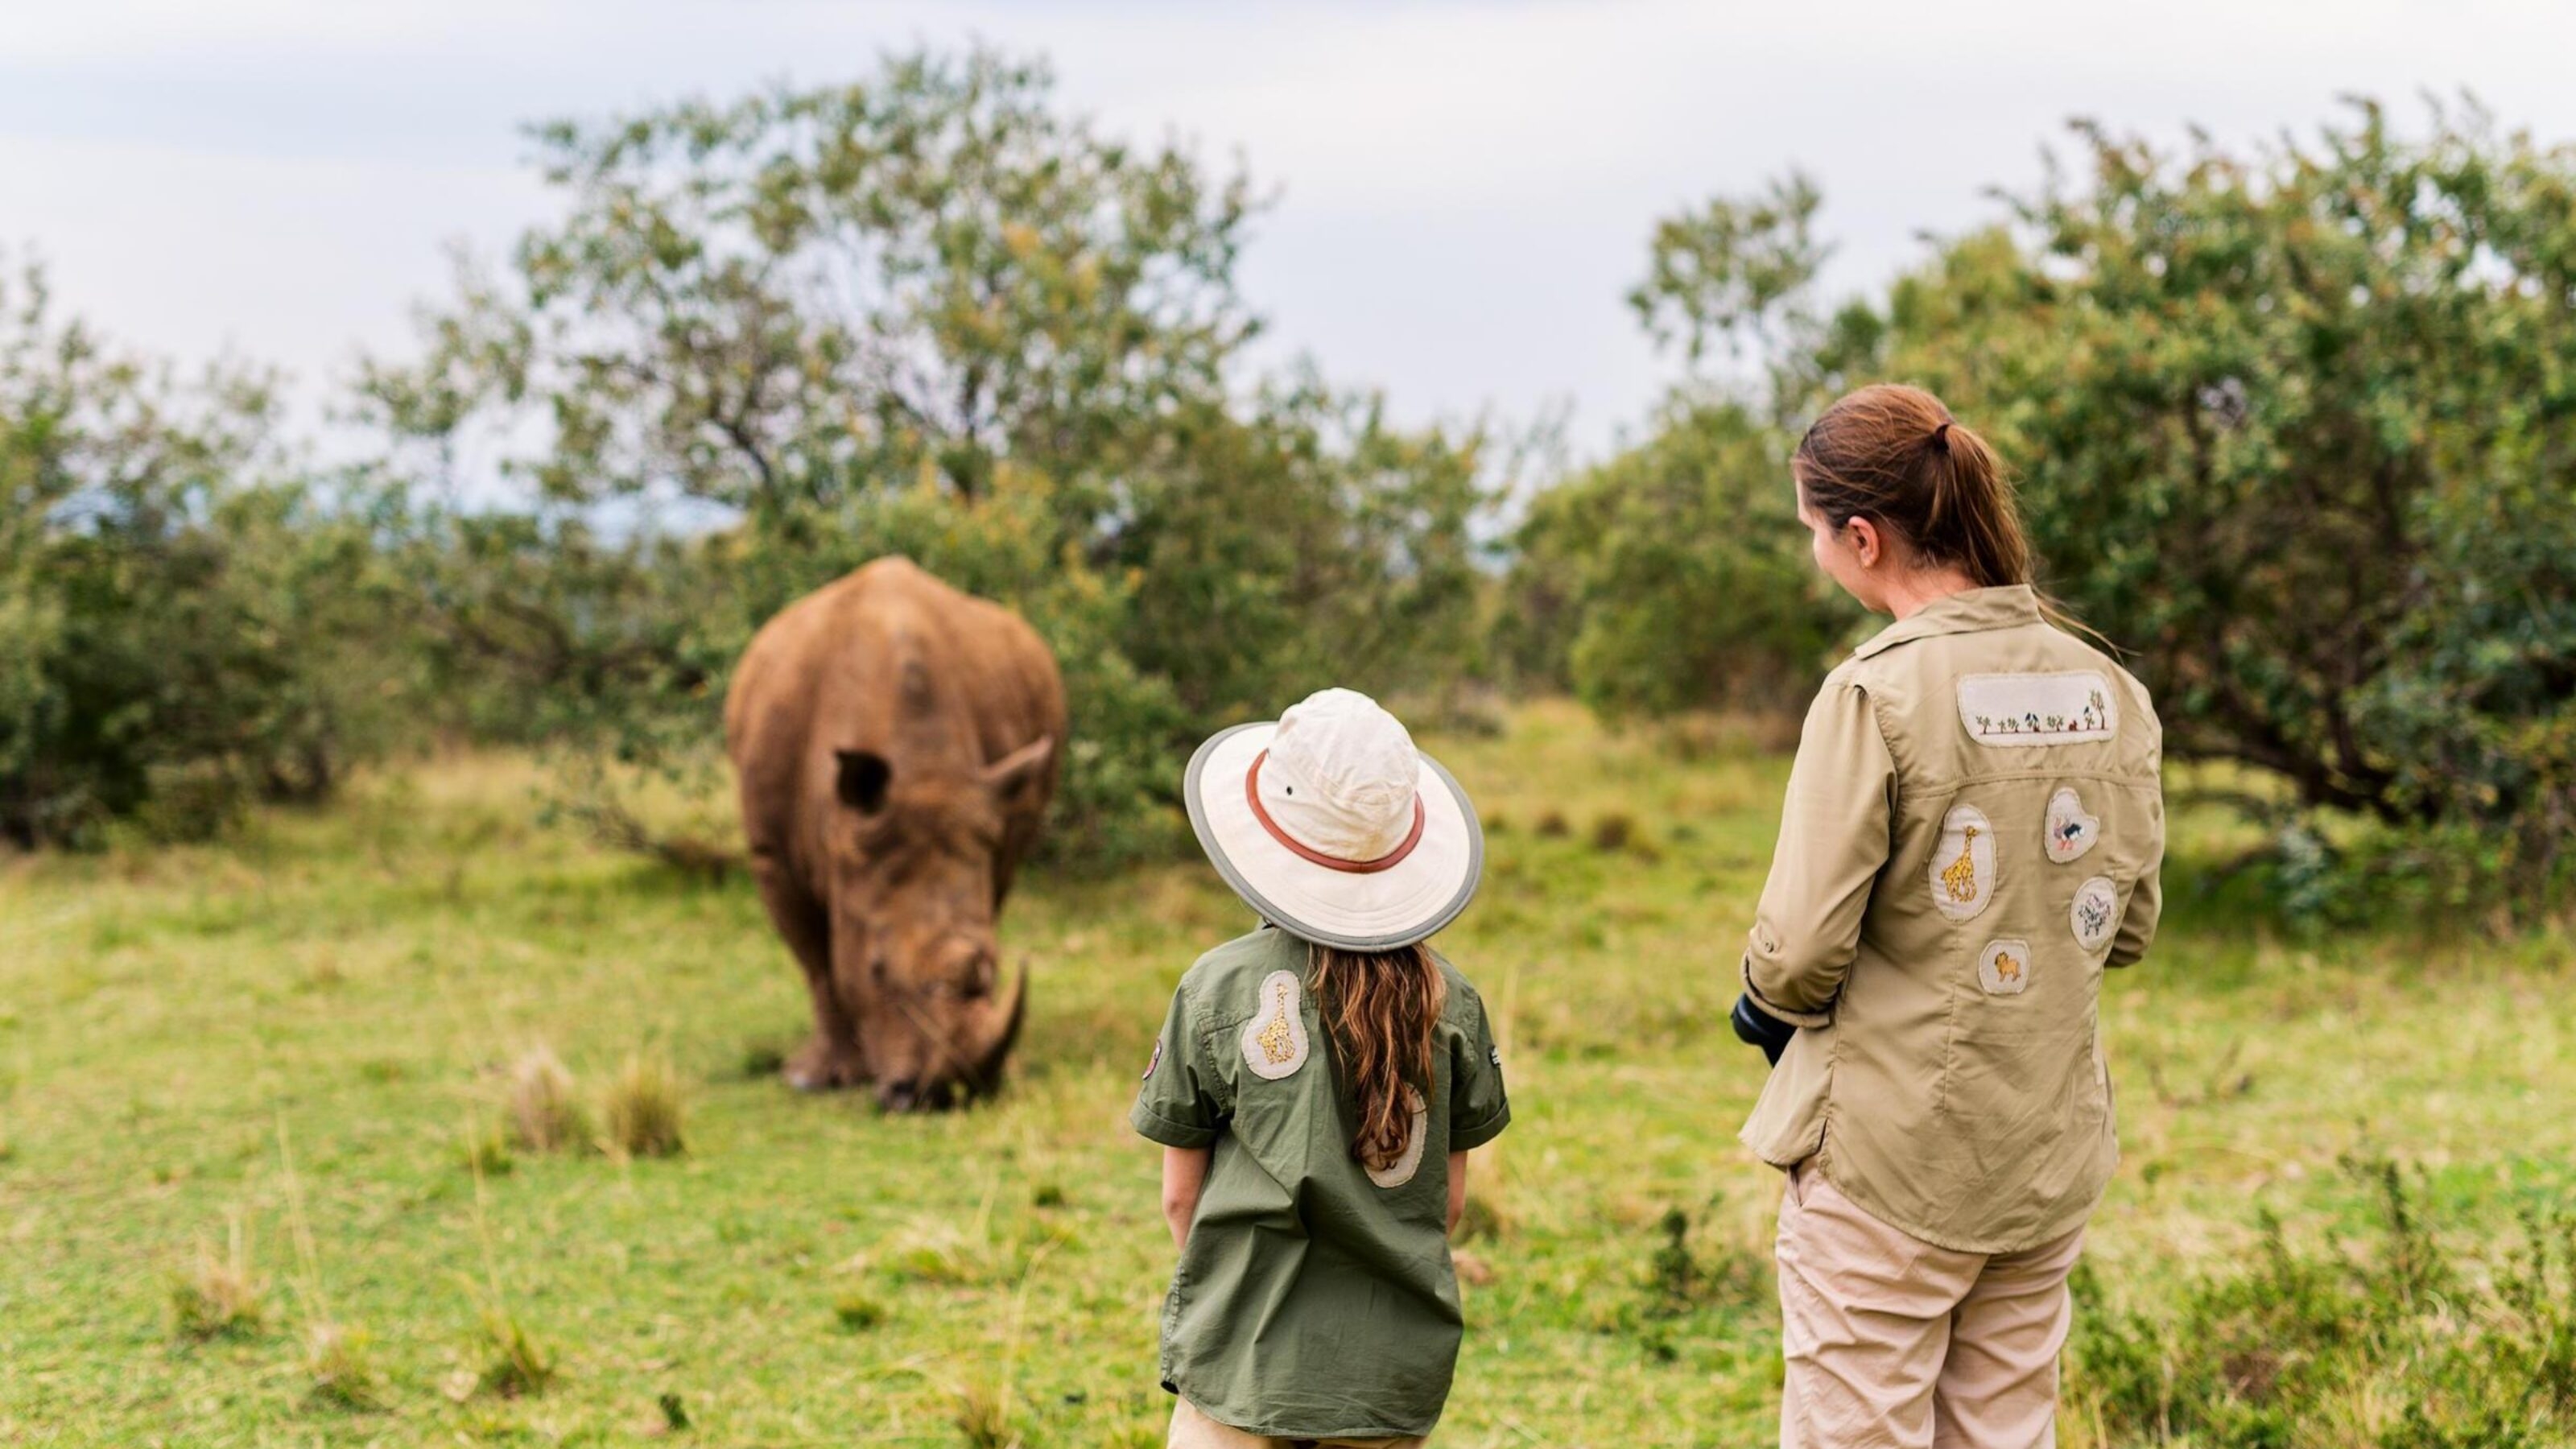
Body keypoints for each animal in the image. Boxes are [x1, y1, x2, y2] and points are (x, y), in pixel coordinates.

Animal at [724, 559, 1065, 1112]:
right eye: (877, 968)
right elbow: (819, 963)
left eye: (993, 965)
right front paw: (817, 1078)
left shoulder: (991, 814)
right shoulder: (771, 853)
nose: (942, 1094)